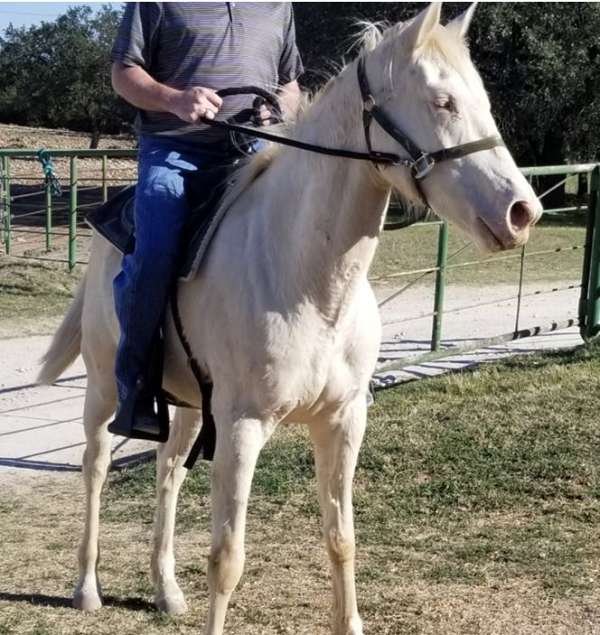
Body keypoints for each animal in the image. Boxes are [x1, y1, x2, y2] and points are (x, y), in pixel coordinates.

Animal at [37, 6, 544, 635]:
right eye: (441, 101)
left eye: (482, 100)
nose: (523, 212)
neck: (309, 282)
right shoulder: (241, 427)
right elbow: (227, 558)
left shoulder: (343, 421)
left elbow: (341, 538)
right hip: (107, 390)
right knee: (96, 467)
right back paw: (86, 587)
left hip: (186, 406)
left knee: (168, 473)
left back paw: (166, 589)